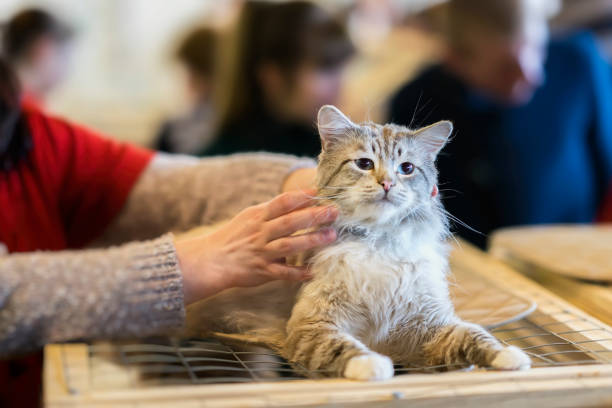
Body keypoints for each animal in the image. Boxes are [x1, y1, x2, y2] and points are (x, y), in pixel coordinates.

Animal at [183, 104, 532, 380]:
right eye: (364, 164)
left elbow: (471, 335)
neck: (377, 243)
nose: (387, 183)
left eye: (407, 168)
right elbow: (343, 349)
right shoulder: (314, 325)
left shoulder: (426, 324)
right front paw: (373, 365)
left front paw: (509, 355)